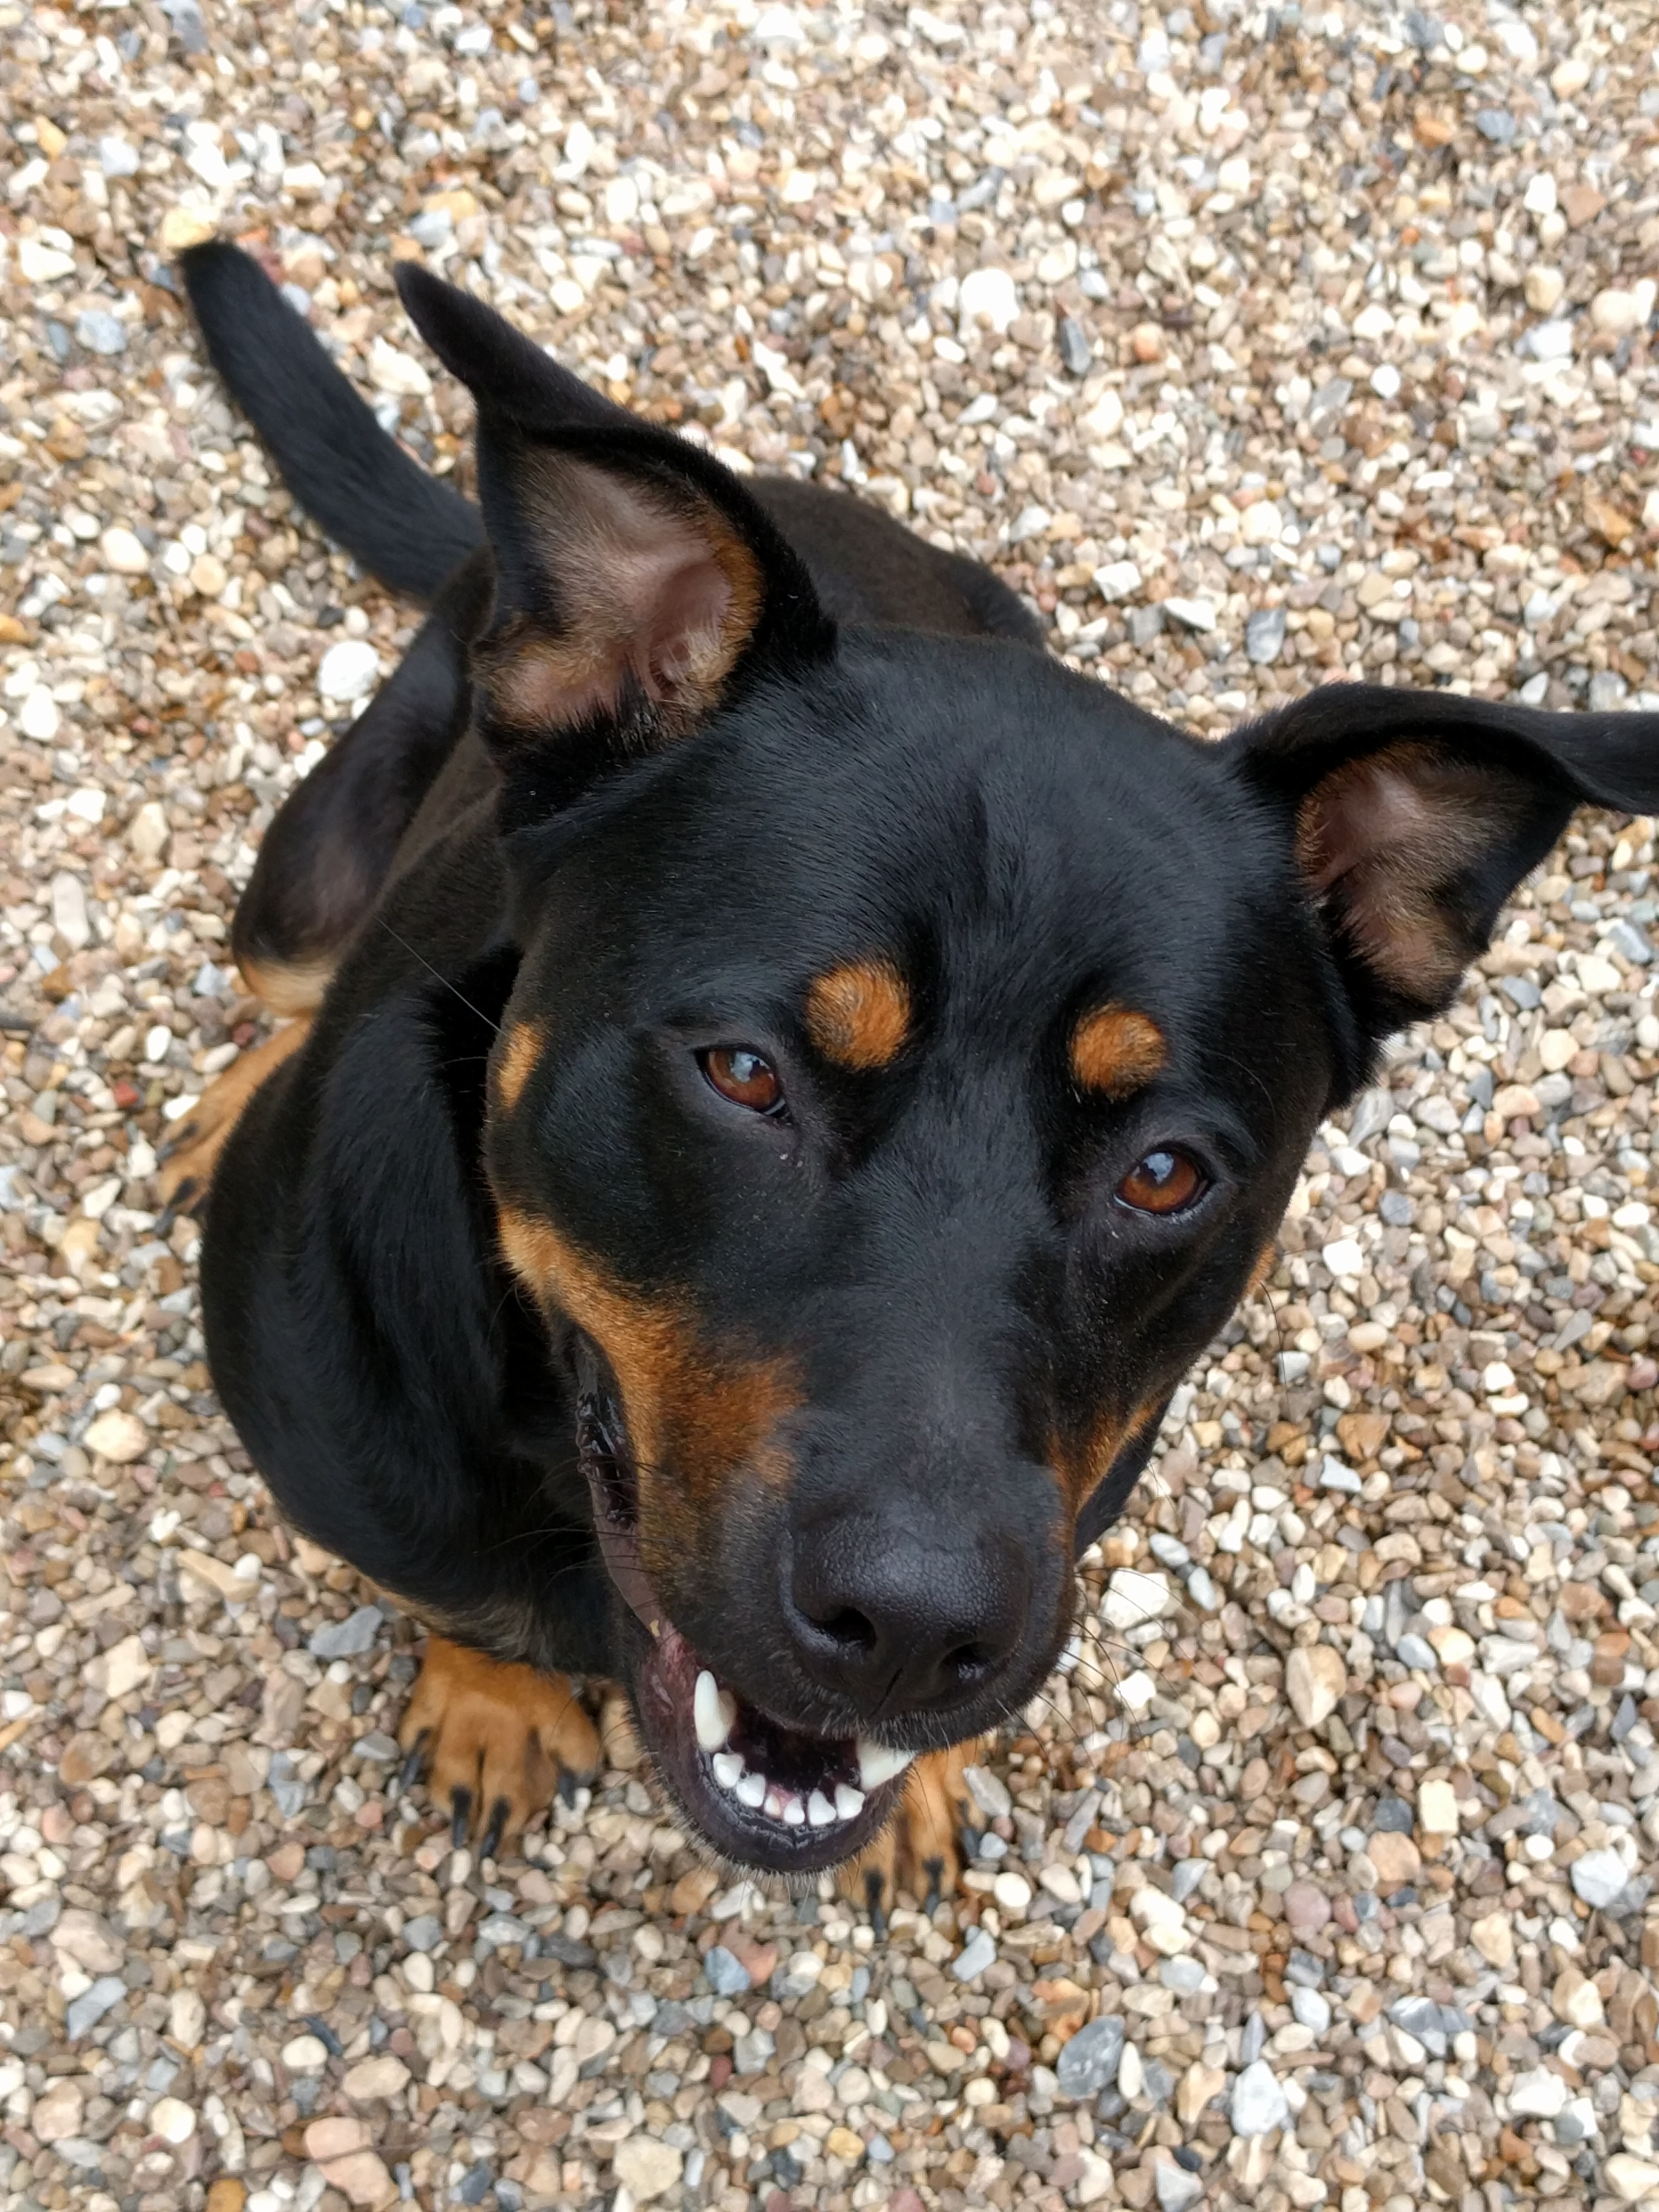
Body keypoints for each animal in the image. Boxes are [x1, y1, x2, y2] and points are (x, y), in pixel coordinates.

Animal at [166, 233, 1659, 1911]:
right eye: (744, 1073)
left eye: (1167, 1173)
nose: (913, 1629)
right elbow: (450, 1593)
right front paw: (493, 1694)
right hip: (310, 865)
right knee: (279, 973)